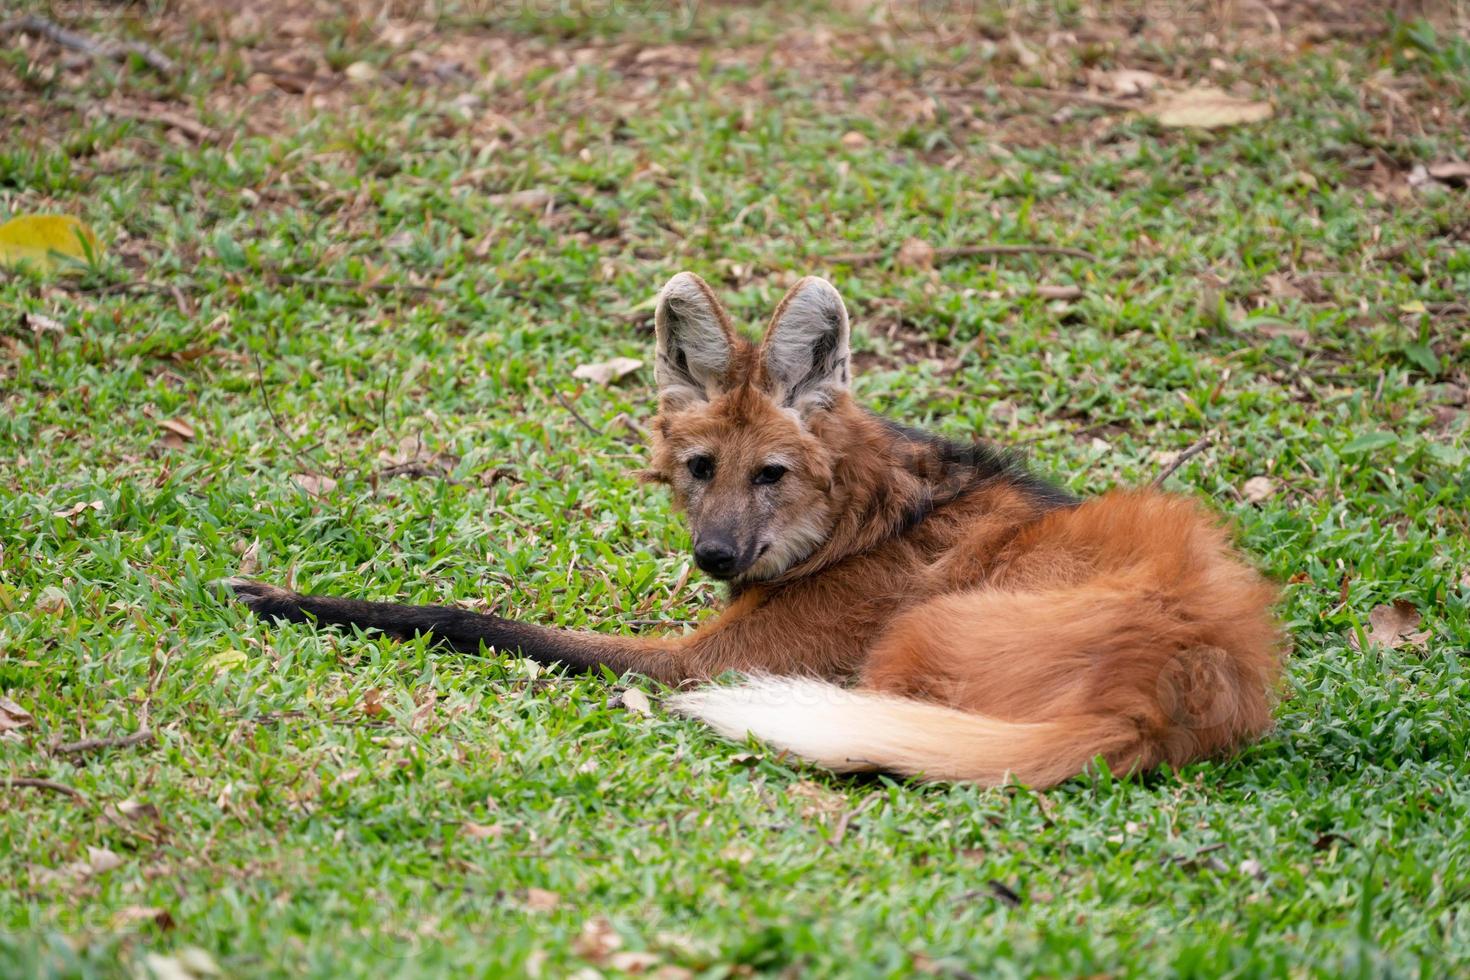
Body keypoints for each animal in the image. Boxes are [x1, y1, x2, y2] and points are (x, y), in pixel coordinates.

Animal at [223, 270, 1281, 787]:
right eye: (701, 470)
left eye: (771, 475)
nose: (715, 555)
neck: (861, 521)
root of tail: (1174, 693)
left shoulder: (701, 661)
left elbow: (474, 617)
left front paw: (280, 596)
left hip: (915, 641)